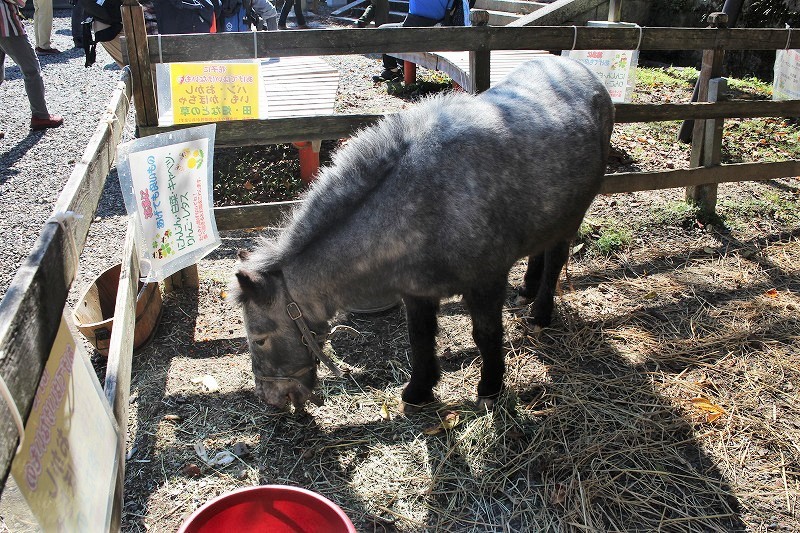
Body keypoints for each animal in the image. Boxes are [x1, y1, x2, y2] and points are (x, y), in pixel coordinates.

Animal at [231, 55, 612, 412]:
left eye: (260, 338)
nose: (270, 397)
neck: (420, 201)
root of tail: (580, 69)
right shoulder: (416, 293)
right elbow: (420, 339)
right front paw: (419, 390)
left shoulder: (485, 283)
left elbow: (486, 334)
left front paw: (490, 389)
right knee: (539, 251)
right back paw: (527, 291)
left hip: (572, 215)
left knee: (556, 258)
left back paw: (541, 313)